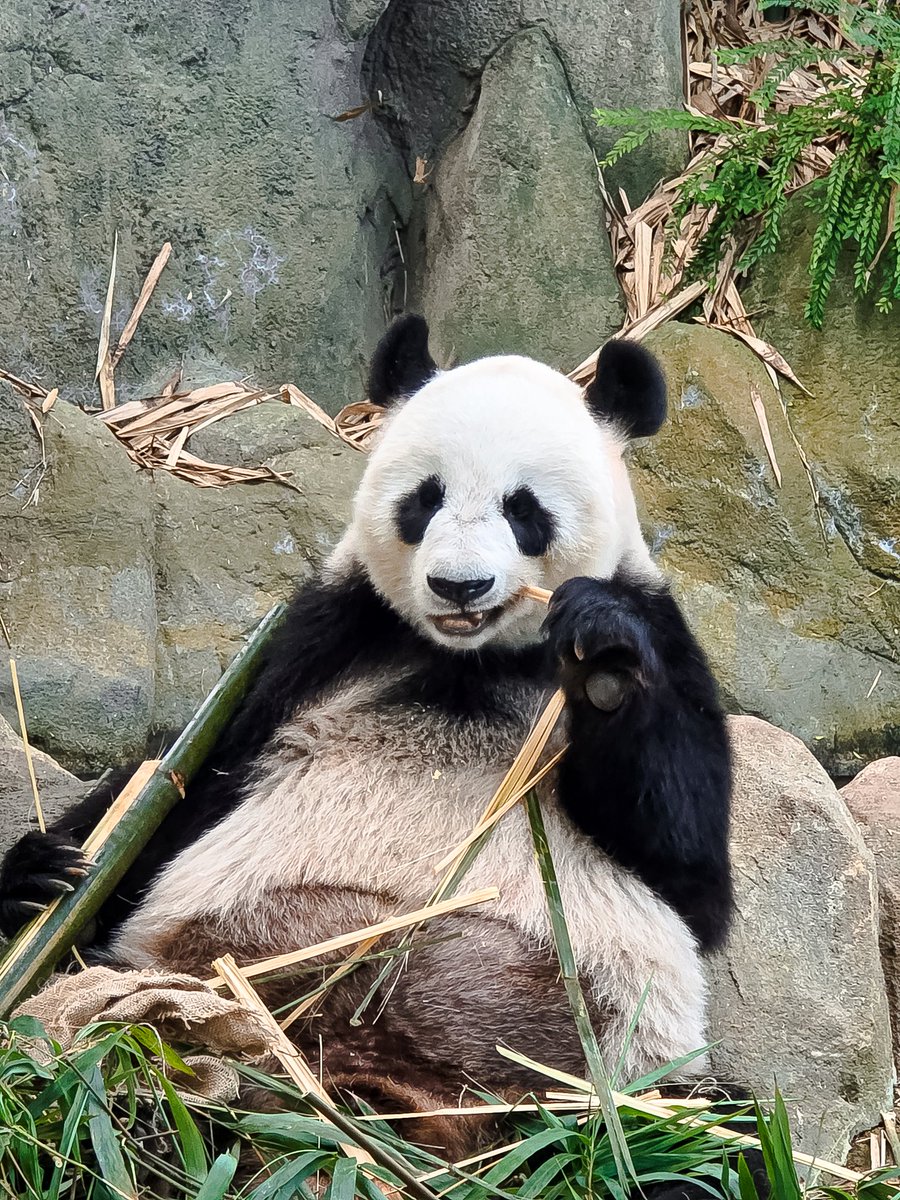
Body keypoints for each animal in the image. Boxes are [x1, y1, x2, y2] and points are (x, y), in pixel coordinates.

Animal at [0, 315, 735, 1172]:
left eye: (524, 509)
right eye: (426, 498)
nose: (459, 586)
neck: (469, 661)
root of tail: (382, 1091)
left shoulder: (666, 638)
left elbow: (689, 873)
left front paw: (606, 661)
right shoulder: (320, 644)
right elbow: (183, 797)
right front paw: (40, 870)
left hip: (596, 1089)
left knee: (702, 1145)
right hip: (194, 991)